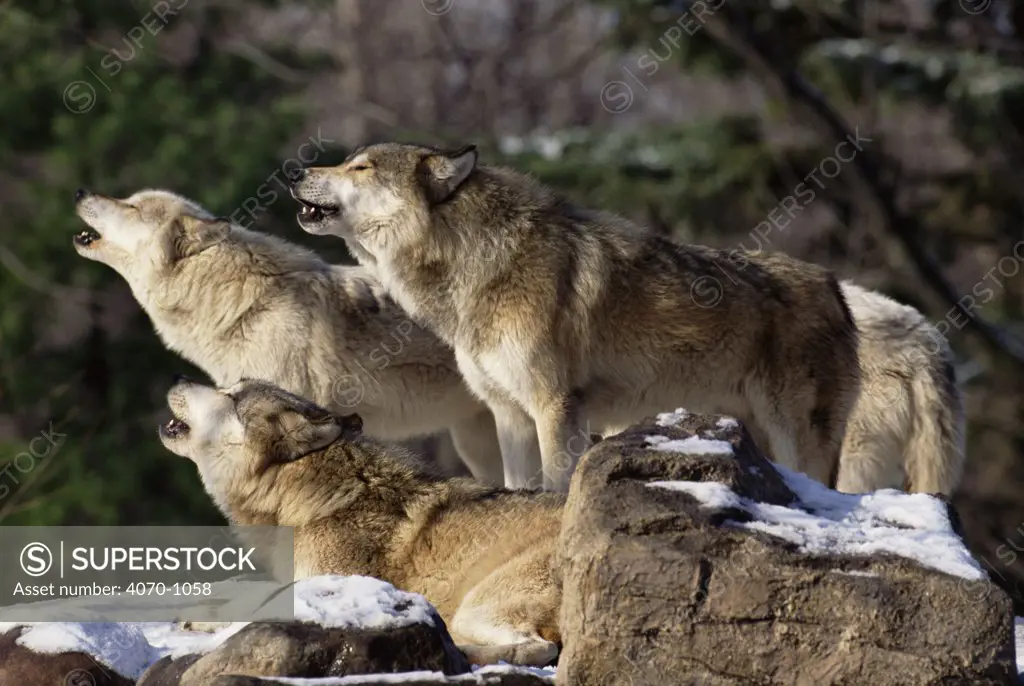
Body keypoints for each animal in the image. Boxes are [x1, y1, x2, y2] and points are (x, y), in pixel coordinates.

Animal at [157, 378, 569, 667]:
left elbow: (255, 604)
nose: (177, 376)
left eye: (231, 396)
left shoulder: (323, 583)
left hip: (477, 606)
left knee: (541, 648)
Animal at [290, 143, 864, 495]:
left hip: (797, 440)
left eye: (361, 167)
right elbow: (519, 489)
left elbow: (556, 486)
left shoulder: (556, 407)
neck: (482, 265)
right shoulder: (509, 415)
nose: (295, 171)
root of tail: (835, 287)